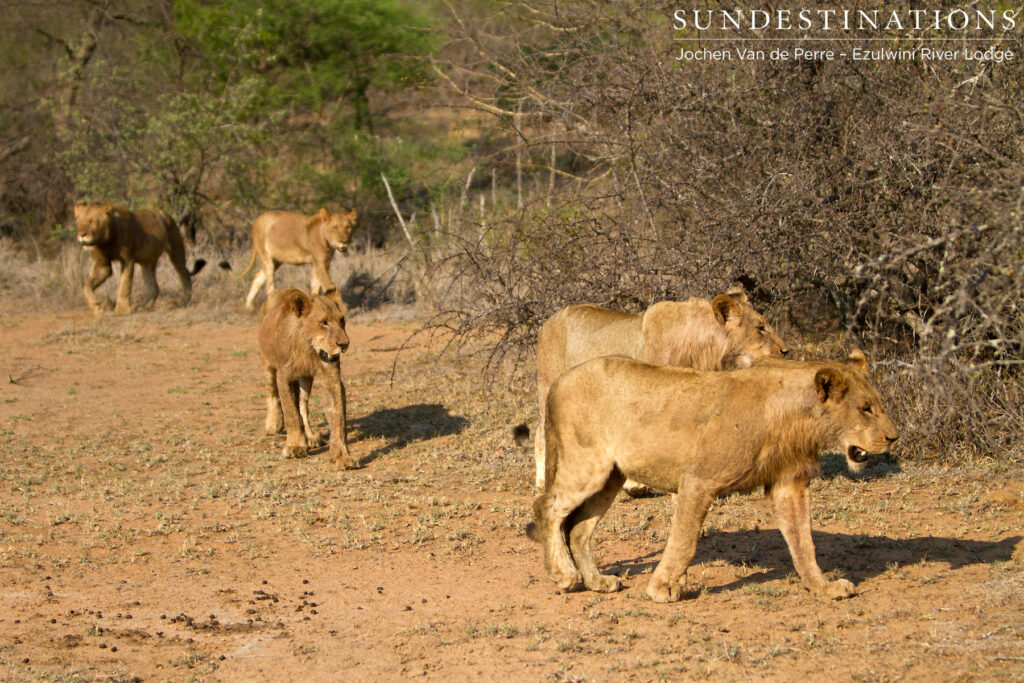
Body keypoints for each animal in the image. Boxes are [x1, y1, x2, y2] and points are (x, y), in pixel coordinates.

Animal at [73, 201, 206, 314]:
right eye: (79, 221)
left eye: (92, 221)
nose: (82, 235)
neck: (105, 241)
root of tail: (163, 213)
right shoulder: (102, 265)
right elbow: (87, 286)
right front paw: (96, 306)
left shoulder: (127, 260)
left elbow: (124, 285)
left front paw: (121, 309)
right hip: (147, 261)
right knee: (154, 287)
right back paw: (142, 307)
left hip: (176, 249)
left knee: (184, 273)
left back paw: (182, 301)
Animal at [258, 287, 357, 468]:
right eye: (324, 322)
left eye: (342, 320)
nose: (344, 344)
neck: (307, 348)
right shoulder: (284, 376)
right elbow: (291, 412)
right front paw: (295, 446)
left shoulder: (331, 377)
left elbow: (338, 417)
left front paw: (342, 456)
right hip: (267, 364)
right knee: (272, 394)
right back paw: (274, 424)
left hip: (305, 379)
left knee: (303, 406)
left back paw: (310, 437)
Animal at [529, 350, 898, 603]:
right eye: (865, 408)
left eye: (878, 404)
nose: (894, 437)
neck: (797, 416)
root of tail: (561, 379)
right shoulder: (698, 479)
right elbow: (685, 540)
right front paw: (664, 588)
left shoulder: (789, 485)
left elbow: (803, 542)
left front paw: (823, 587)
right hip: (587, 465)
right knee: (546, 506)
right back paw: (564, 575)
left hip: (611, 477)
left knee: (578, 528)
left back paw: (597, 581)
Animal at [531, 288, 789, 490]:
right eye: (761, 328)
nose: (786, 351)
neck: (702, 346)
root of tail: (548, 320)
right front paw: (634, 485)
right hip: (548, 385)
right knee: (540, 430)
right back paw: (543, 480)